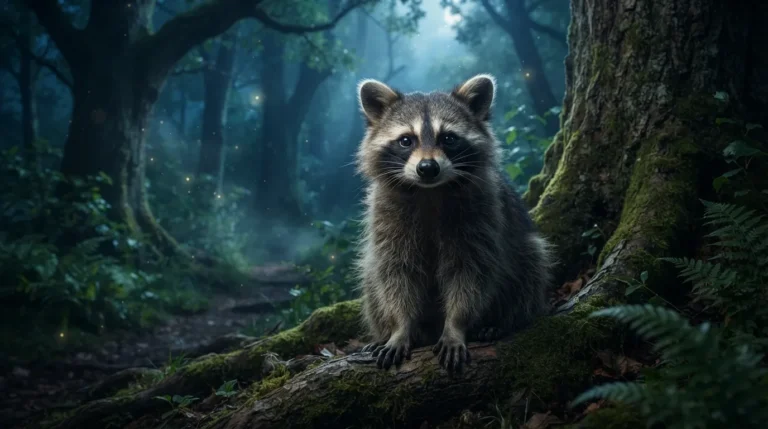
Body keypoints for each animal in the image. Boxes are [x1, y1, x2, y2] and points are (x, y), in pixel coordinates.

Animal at [354, 74, 553, 372]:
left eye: (448, 138)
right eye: (406, 141)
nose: (427, 168)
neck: (429, 191)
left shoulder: (481, 214)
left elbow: (470, 272)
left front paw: (456, 326)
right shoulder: (386, 216)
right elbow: (397, 273)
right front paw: (400, 328)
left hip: (520, 246)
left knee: (531, 261)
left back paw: (505, 320)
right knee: (371, 273)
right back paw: (388, 332)